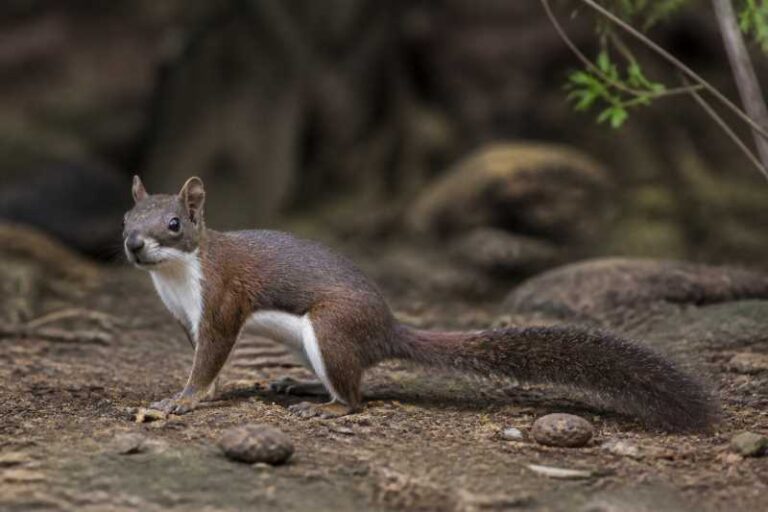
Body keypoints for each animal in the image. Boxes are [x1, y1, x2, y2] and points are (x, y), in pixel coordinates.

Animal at [123, 176, 720, 432]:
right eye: (126, 217)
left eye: (173, 223)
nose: (133, 244)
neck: (176, 282)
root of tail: (387, 329)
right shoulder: (186, 319)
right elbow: (206, 362)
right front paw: (196, 393)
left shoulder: (221, 302)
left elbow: (210, 360)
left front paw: (180, 401)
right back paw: (299, 385)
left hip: (330, 329)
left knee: (356, 397)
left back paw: (322, 406)